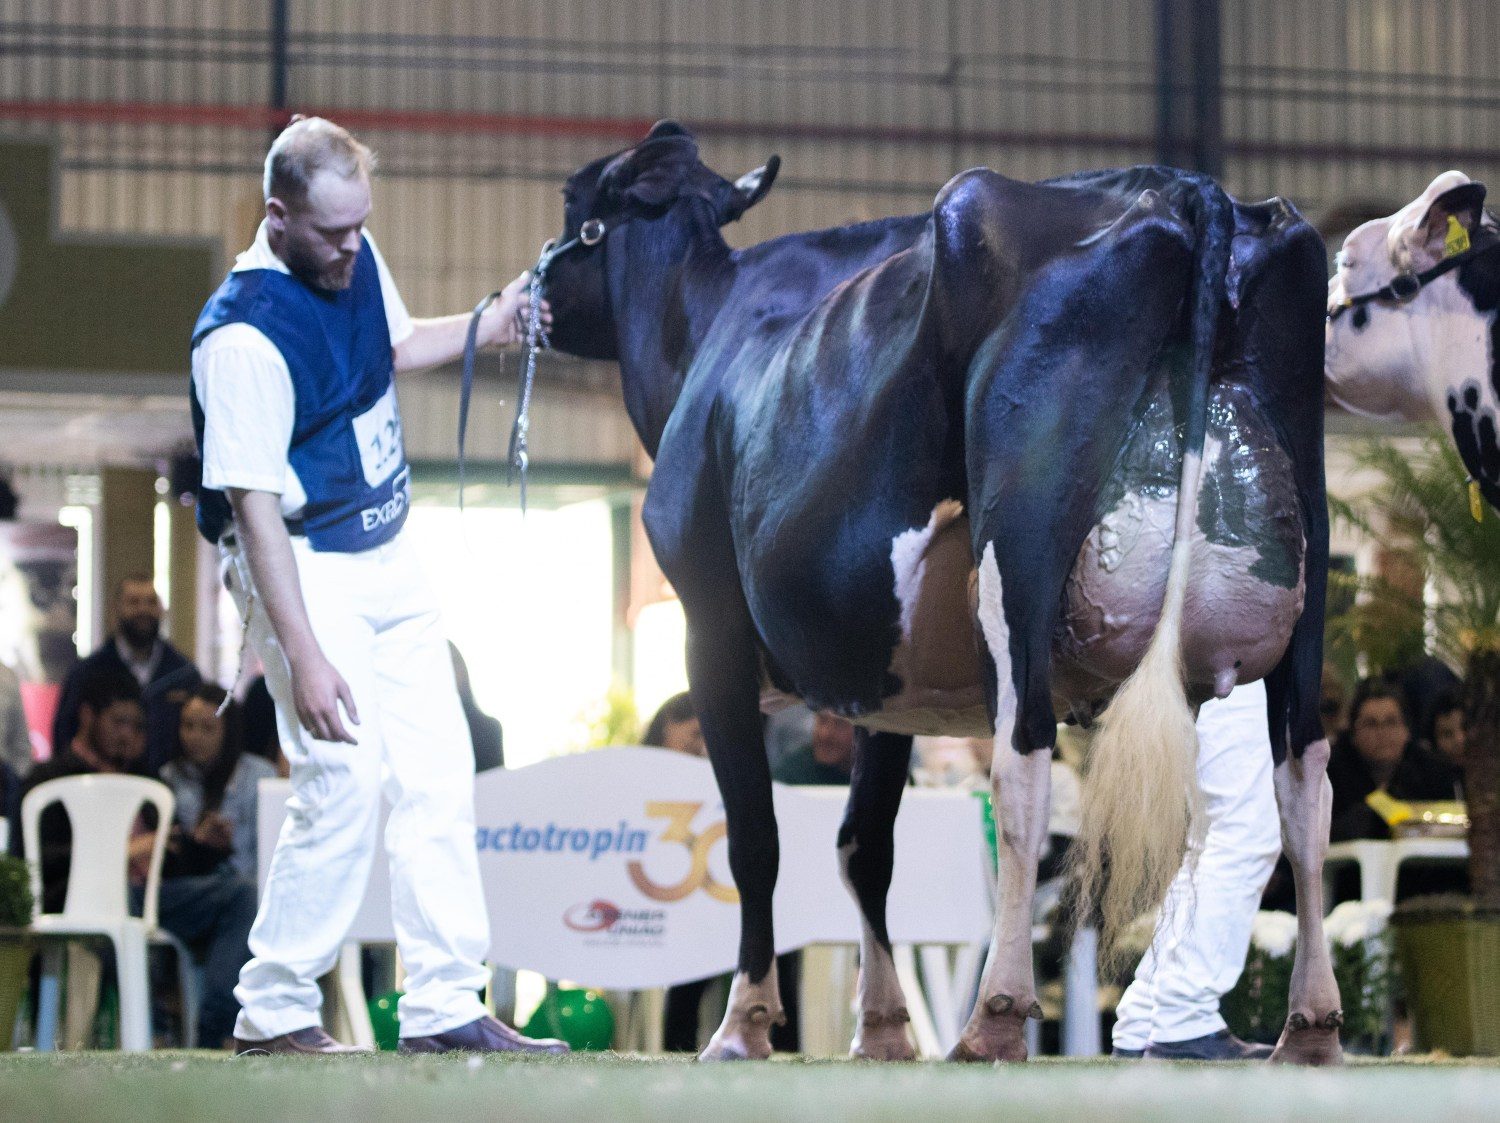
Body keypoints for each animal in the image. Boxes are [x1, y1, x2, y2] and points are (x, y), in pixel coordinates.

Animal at [549, 122, 1338, 1061]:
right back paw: (1310, 1026)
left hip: (1021, 547)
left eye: (573, 204)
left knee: (1022, 761)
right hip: (1311, 559)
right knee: (1305, 781)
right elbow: (862, 843)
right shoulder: (888, 676)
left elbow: (756, 839)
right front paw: (884, 1029)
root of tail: (1190, 190)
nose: (529, 292)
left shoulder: (709, 630)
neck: (705, 335)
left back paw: (994, 1015)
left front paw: (743, 1025)